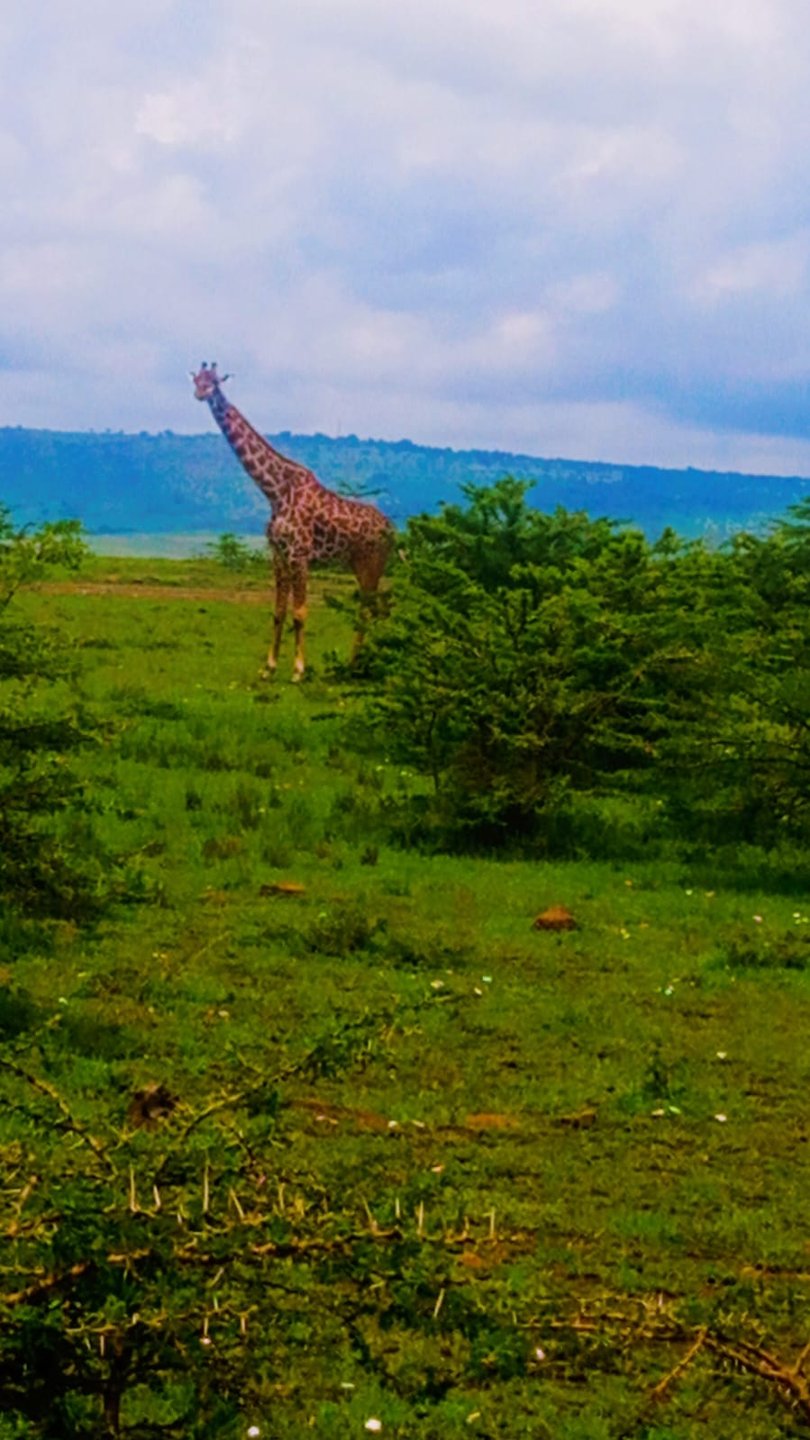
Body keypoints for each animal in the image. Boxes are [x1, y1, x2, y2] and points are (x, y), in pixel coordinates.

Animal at [192, 362, 394, 680]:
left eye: (213, 382)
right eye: (196, 380)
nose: (200, 394)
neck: (274, 490)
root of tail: (392, 528)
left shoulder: (299, 554)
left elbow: (300, 612)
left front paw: (298, 670)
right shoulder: (279, 555)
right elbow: (279, 611)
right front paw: (269, 667)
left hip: (372, 562)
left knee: (368, 608)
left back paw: (355, 664)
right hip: (359, 564)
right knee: (377, 607)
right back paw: (368, 659)